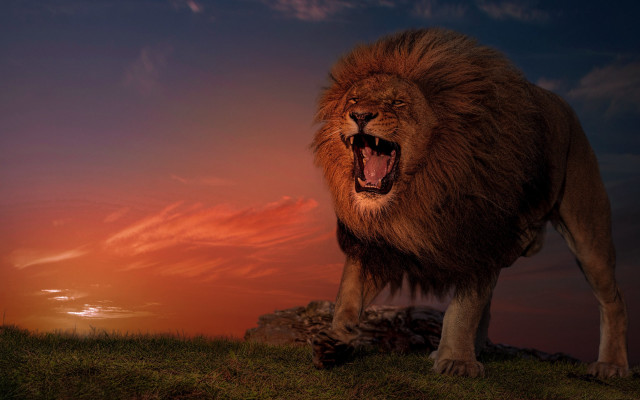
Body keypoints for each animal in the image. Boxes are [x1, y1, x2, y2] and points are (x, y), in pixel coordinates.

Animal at [311, 28, 629, 378]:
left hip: (588, 230)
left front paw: (457, 362)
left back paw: (612, 366)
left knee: (613, 299)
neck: (418, 189)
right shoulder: (376, 240)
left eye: (398, 102)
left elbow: (465, 307)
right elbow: (349, 296)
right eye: (353, 100)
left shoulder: (476, 230)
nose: (360, 115)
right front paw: (336, 340)